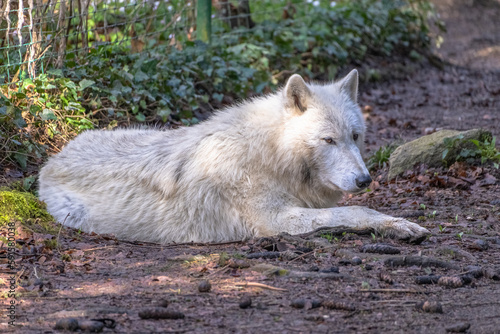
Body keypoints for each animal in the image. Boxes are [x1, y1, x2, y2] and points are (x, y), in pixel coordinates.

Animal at [38, 70, 430, 243]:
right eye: (328, 140)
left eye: (355, 136)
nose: (365, 180)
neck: (271, 154)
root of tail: (51, 161)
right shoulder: (275, 221)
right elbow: (355, 211)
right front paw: (398, 225)